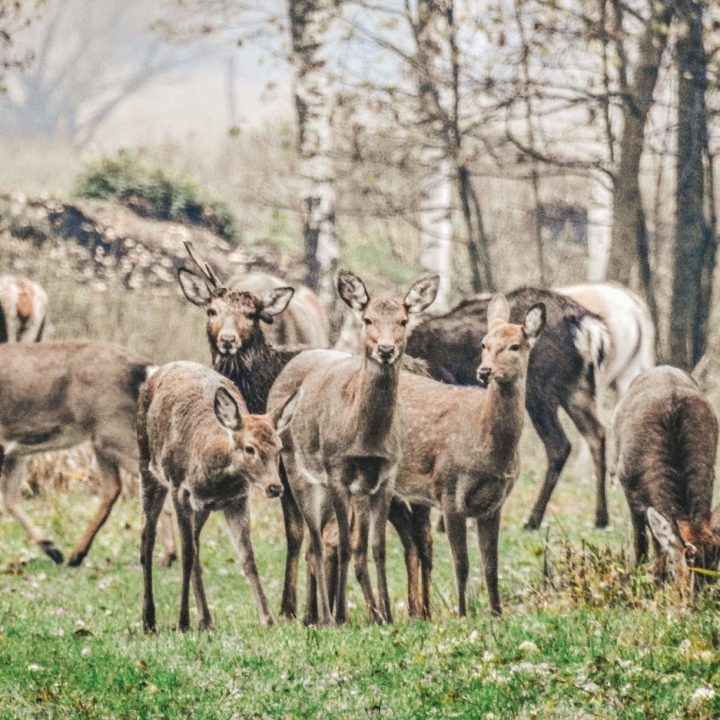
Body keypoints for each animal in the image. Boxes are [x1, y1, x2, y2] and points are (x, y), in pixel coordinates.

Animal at [0, 342, 176, 568]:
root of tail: (146, 369)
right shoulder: (15, 451)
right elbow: (10, 501)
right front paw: (52, 548)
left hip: (113, 430)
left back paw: (169, 554)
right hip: (103, 438)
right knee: (113, 487)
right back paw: (76, 555)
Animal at [138, 360, 284, 632]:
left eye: (280, 448)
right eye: (249, 448)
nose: (275, 487)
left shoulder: (237, 500)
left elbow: (247, 557)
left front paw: (268, 619)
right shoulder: (180, 489)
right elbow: (185, 555)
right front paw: (182, 621)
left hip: (202, 508)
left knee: (195, 549)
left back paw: (206, 620)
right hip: (147, 466)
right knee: (147, 541)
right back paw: (149, 620)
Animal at [268, 270, 438, 624]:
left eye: (403, 320)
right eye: (368, 319)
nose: (386, 349)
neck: (365, 437)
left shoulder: (384, 476)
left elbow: (376, 548)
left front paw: (384, 614)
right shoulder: (336, 472)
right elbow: (346, 546)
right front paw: (343, 614)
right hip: (297, 472)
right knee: (316, 541)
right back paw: (321, 616)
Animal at [612, 366, 720, 592]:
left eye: (717, 558)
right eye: (688, 559)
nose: (704, 593)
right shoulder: (627, 484)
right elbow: (644, 541)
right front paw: (651, 583)